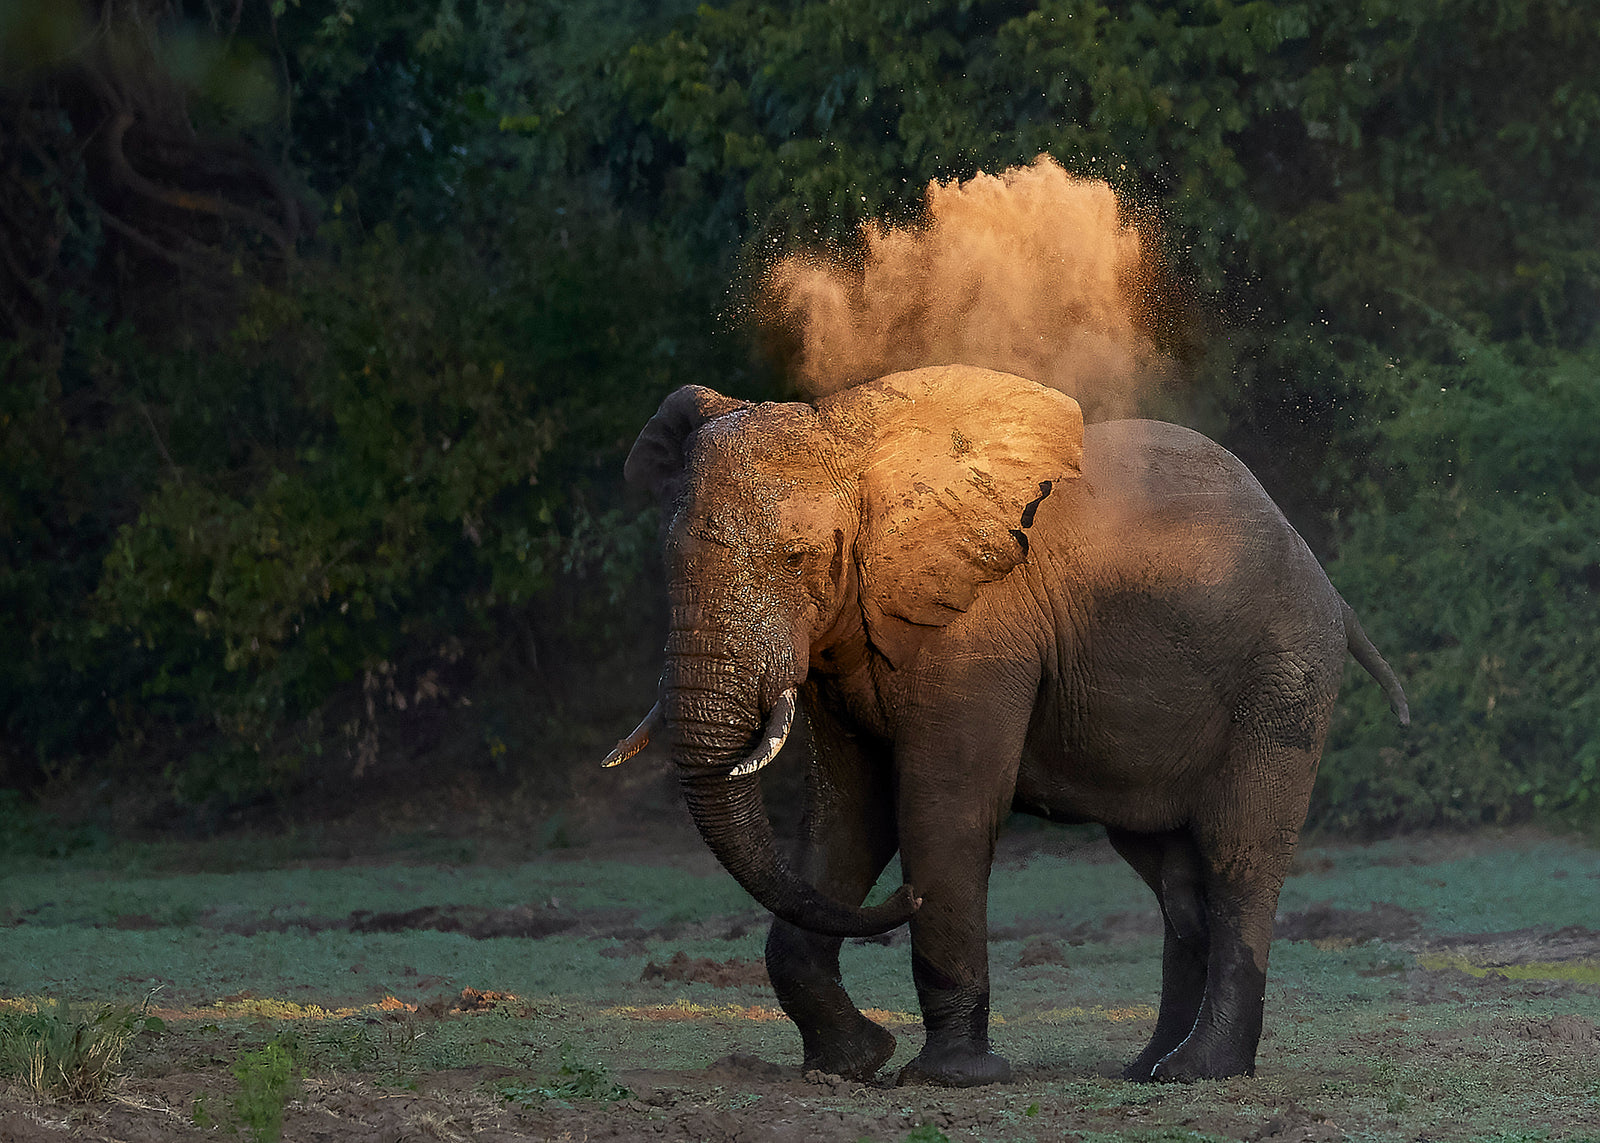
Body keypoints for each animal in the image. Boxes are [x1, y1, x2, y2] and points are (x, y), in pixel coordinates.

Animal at [604, 364, 1408, 1088]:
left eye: (799, 558)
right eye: (666, 560)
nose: (903, 901)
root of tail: (1331, 588)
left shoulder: (980, 632)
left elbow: (944, 809)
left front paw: (951, 1078)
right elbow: (849, 818)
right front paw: (850, 1065)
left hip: (1283, 677)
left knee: (1238, 854)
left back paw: (1202, 1072)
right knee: (1174, 876)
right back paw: (1148, 1071)